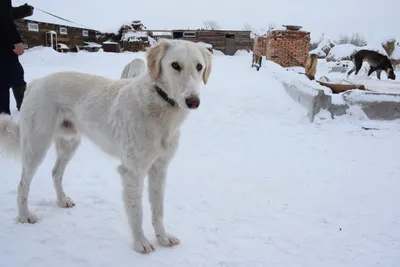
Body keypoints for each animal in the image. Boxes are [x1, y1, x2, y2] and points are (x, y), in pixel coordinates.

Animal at [0, 38, 212, 254]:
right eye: (175, 65)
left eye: (199, 66)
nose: (193, 101)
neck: (159, 104)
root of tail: (37, 82)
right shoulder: (132, 172)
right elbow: (137, 212)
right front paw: (141, 243)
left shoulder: (159, 169)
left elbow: (158, 210)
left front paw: (163, 238)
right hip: (36, 146)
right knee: (23, 184)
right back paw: (25, 215)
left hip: (69, 144)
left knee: (55, 173)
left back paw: (62, 200)